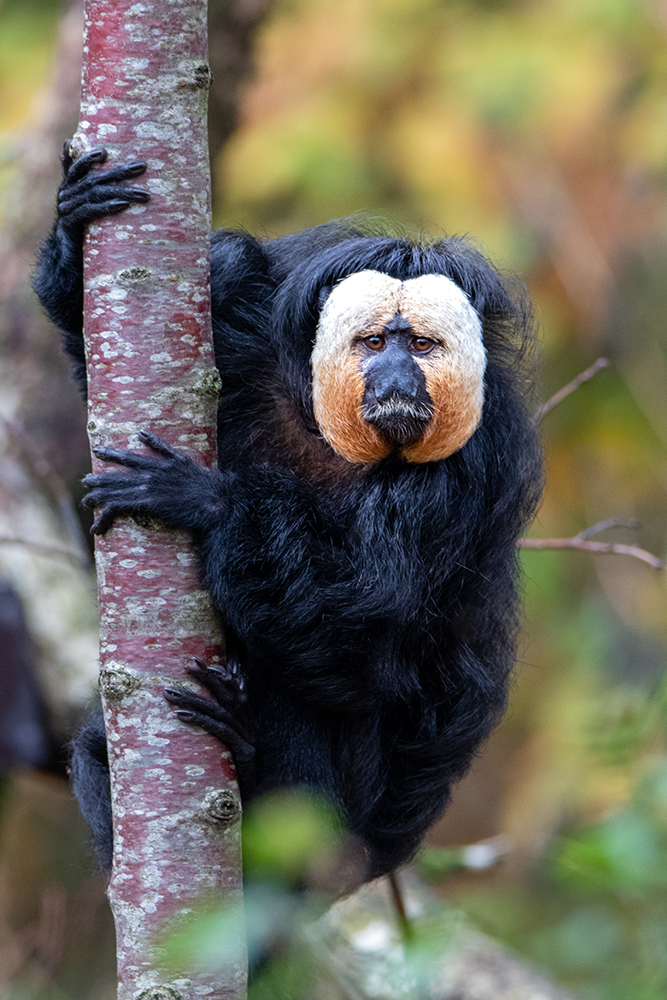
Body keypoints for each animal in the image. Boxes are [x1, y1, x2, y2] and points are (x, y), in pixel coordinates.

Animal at [35, 146, 544, 884]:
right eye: (373, 343)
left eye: (421, 346)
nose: (397, 378)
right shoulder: (244, 339)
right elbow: (92, 359)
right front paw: (75, 227)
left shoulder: (472, 465)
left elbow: (360, 620)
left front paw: (208, 500)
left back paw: (258, 770)